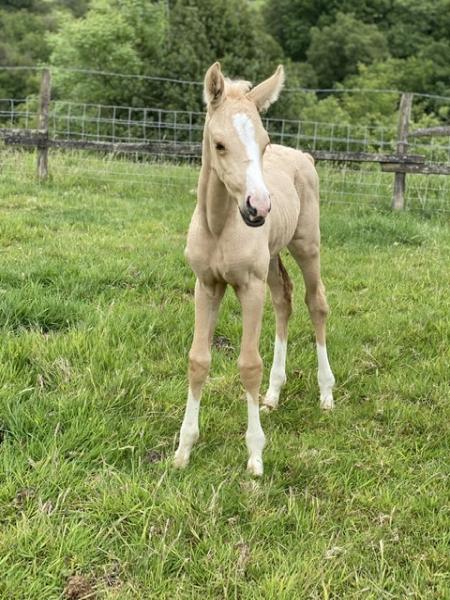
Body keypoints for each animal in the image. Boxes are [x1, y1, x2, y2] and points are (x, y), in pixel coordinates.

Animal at [174, 61, 336, 474]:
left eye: (263, 143)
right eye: (219, 144)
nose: (258, 207)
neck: (219, 224)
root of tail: (304, 157)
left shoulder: (249, 286)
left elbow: (248, 365)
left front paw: (255, 455)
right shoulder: (206, 284)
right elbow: (198, 360)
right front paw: (183, 449)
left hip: (306, 245)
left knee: (316, 303)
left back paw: (326, 393)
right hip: (273, 258)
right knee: (284, 300)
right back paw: (273, 394)